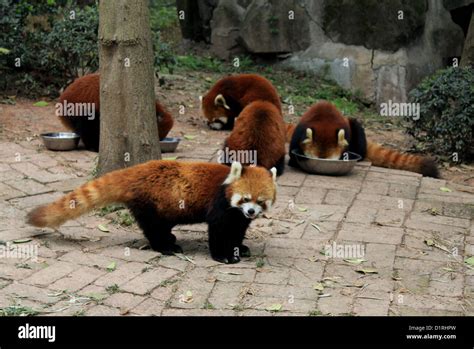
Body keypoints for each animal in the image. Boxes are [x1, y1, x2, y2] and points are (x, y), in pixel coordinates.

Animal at [26, 160, 278, 260]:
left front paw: (239, 247)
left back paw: (170, 239)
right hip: (149, 203)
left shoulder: (237, 217)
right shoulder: (219, 206)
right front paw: (223, 255)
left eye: (261, 201)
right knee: (153, 228)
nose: (251, 212)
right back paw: (166, 246)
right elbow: (217, 231)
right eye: (245, 198)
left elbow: (237, 230)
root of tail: (135, 170)